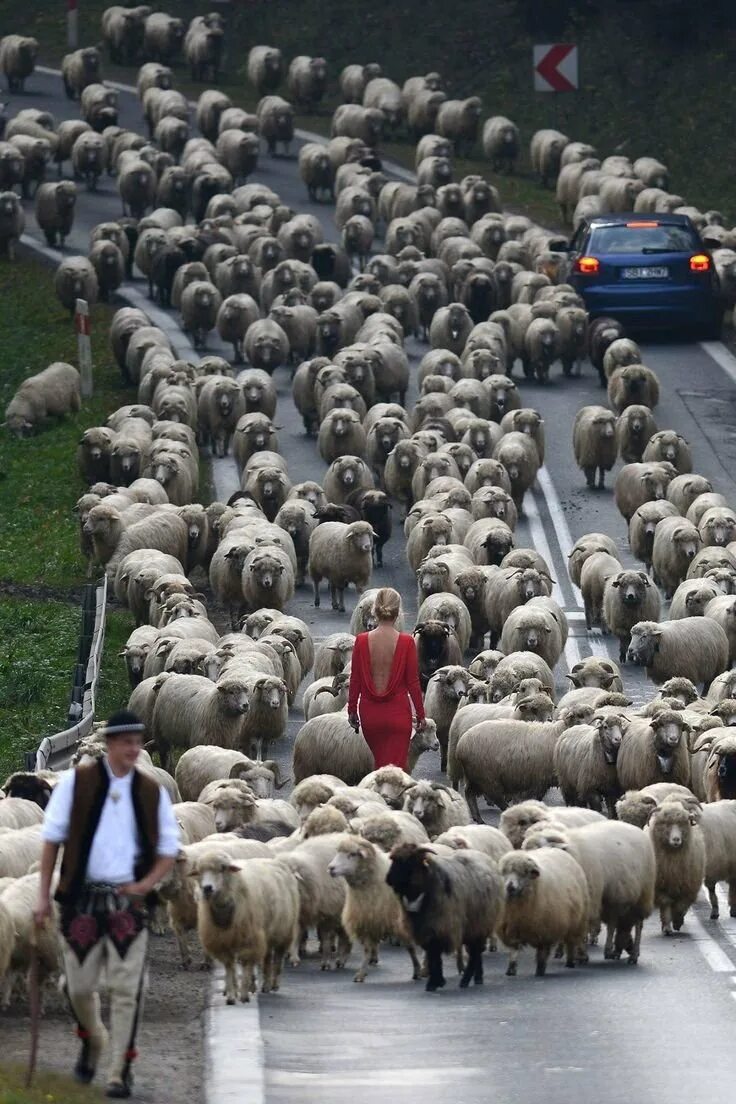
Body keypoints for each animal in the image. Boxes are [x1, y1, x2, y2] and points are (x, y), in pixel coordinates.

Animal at [388, 843, 503, 993]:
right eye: (393, 859)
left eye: (410, 861)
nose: (389, 879)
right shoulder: (425, 929)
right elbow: (432, 955)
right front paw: (437, 981)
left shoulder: (441, 926)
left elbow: (435, 954)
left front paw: (434, 982)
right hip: (474, 926)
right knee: (476, 952)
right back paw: (478, 978)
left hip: (480, 922)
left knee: (475, 952)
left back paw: (465, 980)